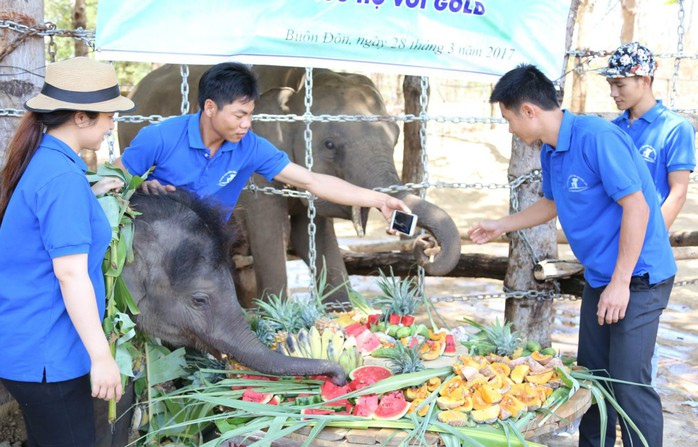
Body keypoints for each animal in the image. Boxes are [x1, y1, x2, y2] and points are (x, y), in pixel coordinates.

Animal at [117, 65, 460, 302]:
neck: (296, 82)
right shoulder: (255, 174)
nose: (426, 245)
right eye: (330, 145)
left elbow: (319, 240)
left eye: (395, 136)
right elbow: (271, 239)